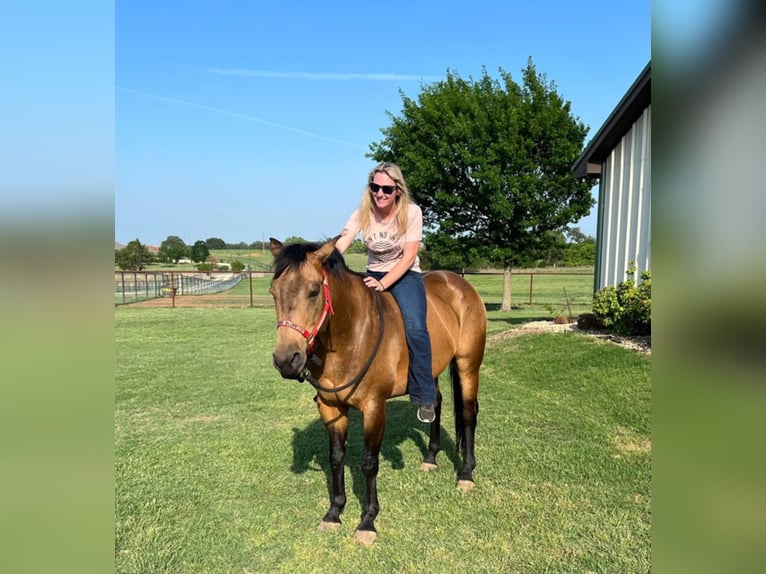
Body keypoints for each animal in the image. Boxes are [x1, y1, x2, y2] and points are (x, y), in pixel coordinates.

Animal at [268, 236, 486, 548]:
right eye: (274, 292)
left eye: (313, 291)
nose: (287, 360)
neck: (353, 335)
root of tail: (459, 282)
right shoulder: (330, 407)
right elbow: (336, 458)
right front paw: (334, 513)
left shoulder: (374, 407)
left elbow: (369, 463)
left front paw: (367, 521)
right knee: (436, 403)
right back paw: (430, 458)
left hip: (468, 365)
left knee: (468, 414)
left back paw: (466, 474)